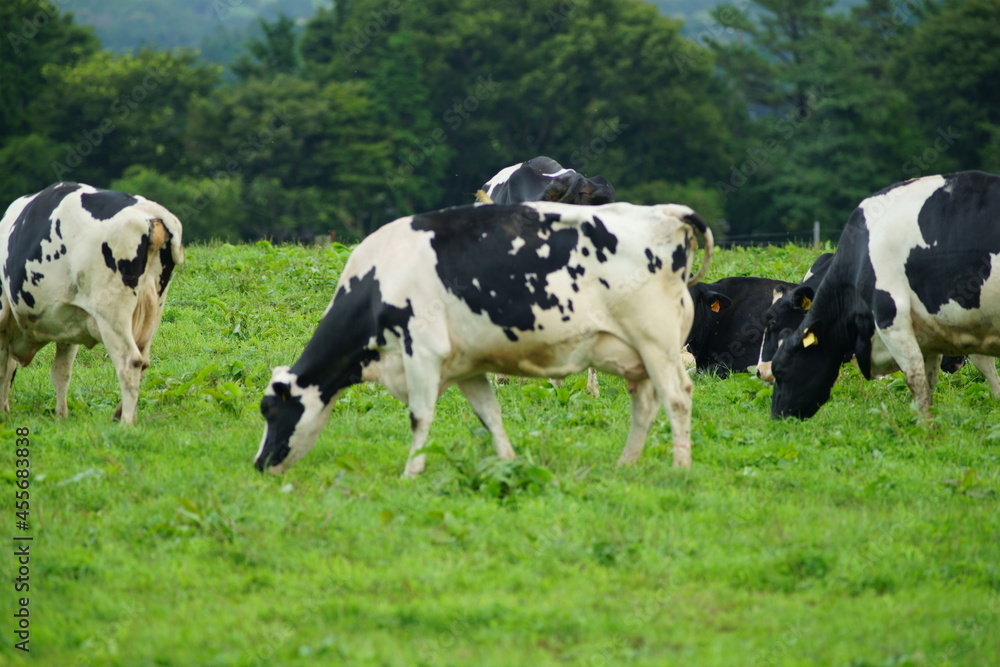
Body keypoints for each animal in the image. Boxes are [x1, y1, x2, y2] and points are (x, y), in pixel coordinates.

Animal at [0, 183, 184, 422]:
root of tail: (150, 211)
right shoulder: (66, 324)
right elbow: (60, 372)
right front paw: (61, 417)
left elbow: (3, 370)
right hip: (152, 311)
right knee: (143, 362)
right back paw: (123, 414)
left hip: (112, 314)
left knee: (130, 361)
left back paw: (126, 423)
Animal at [256, 201, 712, 478]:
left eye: (270, 411)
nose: (259, 464)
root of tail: (666, 213)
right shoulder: (466, 366)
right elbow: (489, 414)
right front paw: (508, 461)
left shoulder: (422, 351)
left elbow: (420, 417)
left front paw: (410, 472)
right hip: (637, 353)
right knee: (645, 403)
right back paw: (626, 463)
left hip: (656, 341)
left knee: (676, 397)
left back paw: (681, 466)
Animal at [768, 174, 1000, 422]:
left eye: (780, 370)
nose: (776, 417)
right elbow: (932, 382)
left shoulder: (894, 319)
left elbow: (918, 379)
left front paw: (924, 428)